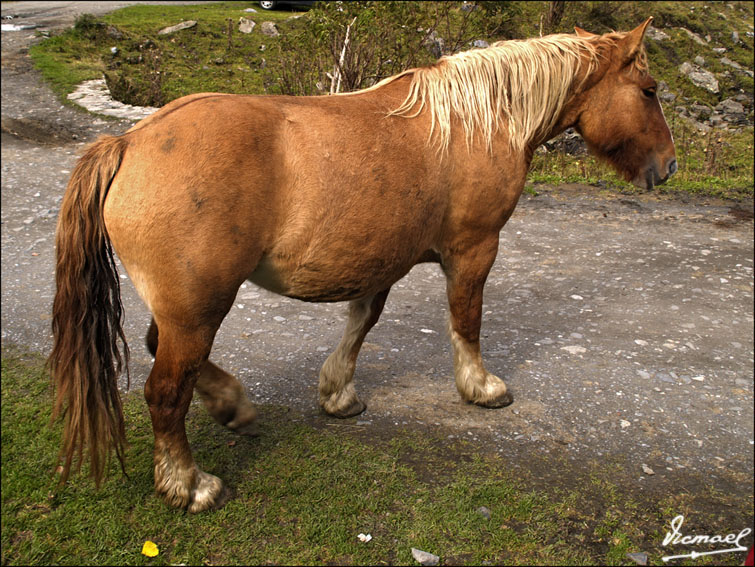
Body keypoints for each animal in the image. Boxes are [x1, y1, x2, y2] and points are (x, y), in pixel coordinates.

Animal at [50, 18, 676, 516]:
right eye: (648, 91)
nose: (668, 166)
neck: (473, 124)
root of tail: (128, 143)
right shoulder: (474, 248)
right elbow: (466, 321)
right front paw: (480, 387)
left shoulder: (378, 261)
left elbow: (361, 323)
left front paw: (338, 394)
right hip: (199, 308)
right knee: (164, 391)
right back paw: (189, 484)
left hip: (188, 308)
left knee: (163, 350)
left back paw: (231, 405)